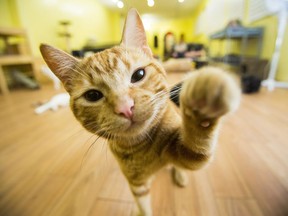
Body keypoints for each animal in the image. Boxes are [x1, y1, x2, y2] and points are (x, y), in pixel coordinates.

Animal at [39, 8, 240, 214]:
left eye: (138, 75)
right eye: (93, 95)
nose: (125, 108)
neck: (141, 146)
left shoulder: (186, 153)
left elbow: (196, 143)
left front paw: (203, 98)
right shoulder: (136, 183)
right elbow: (142, 205)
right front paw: (140, 210)